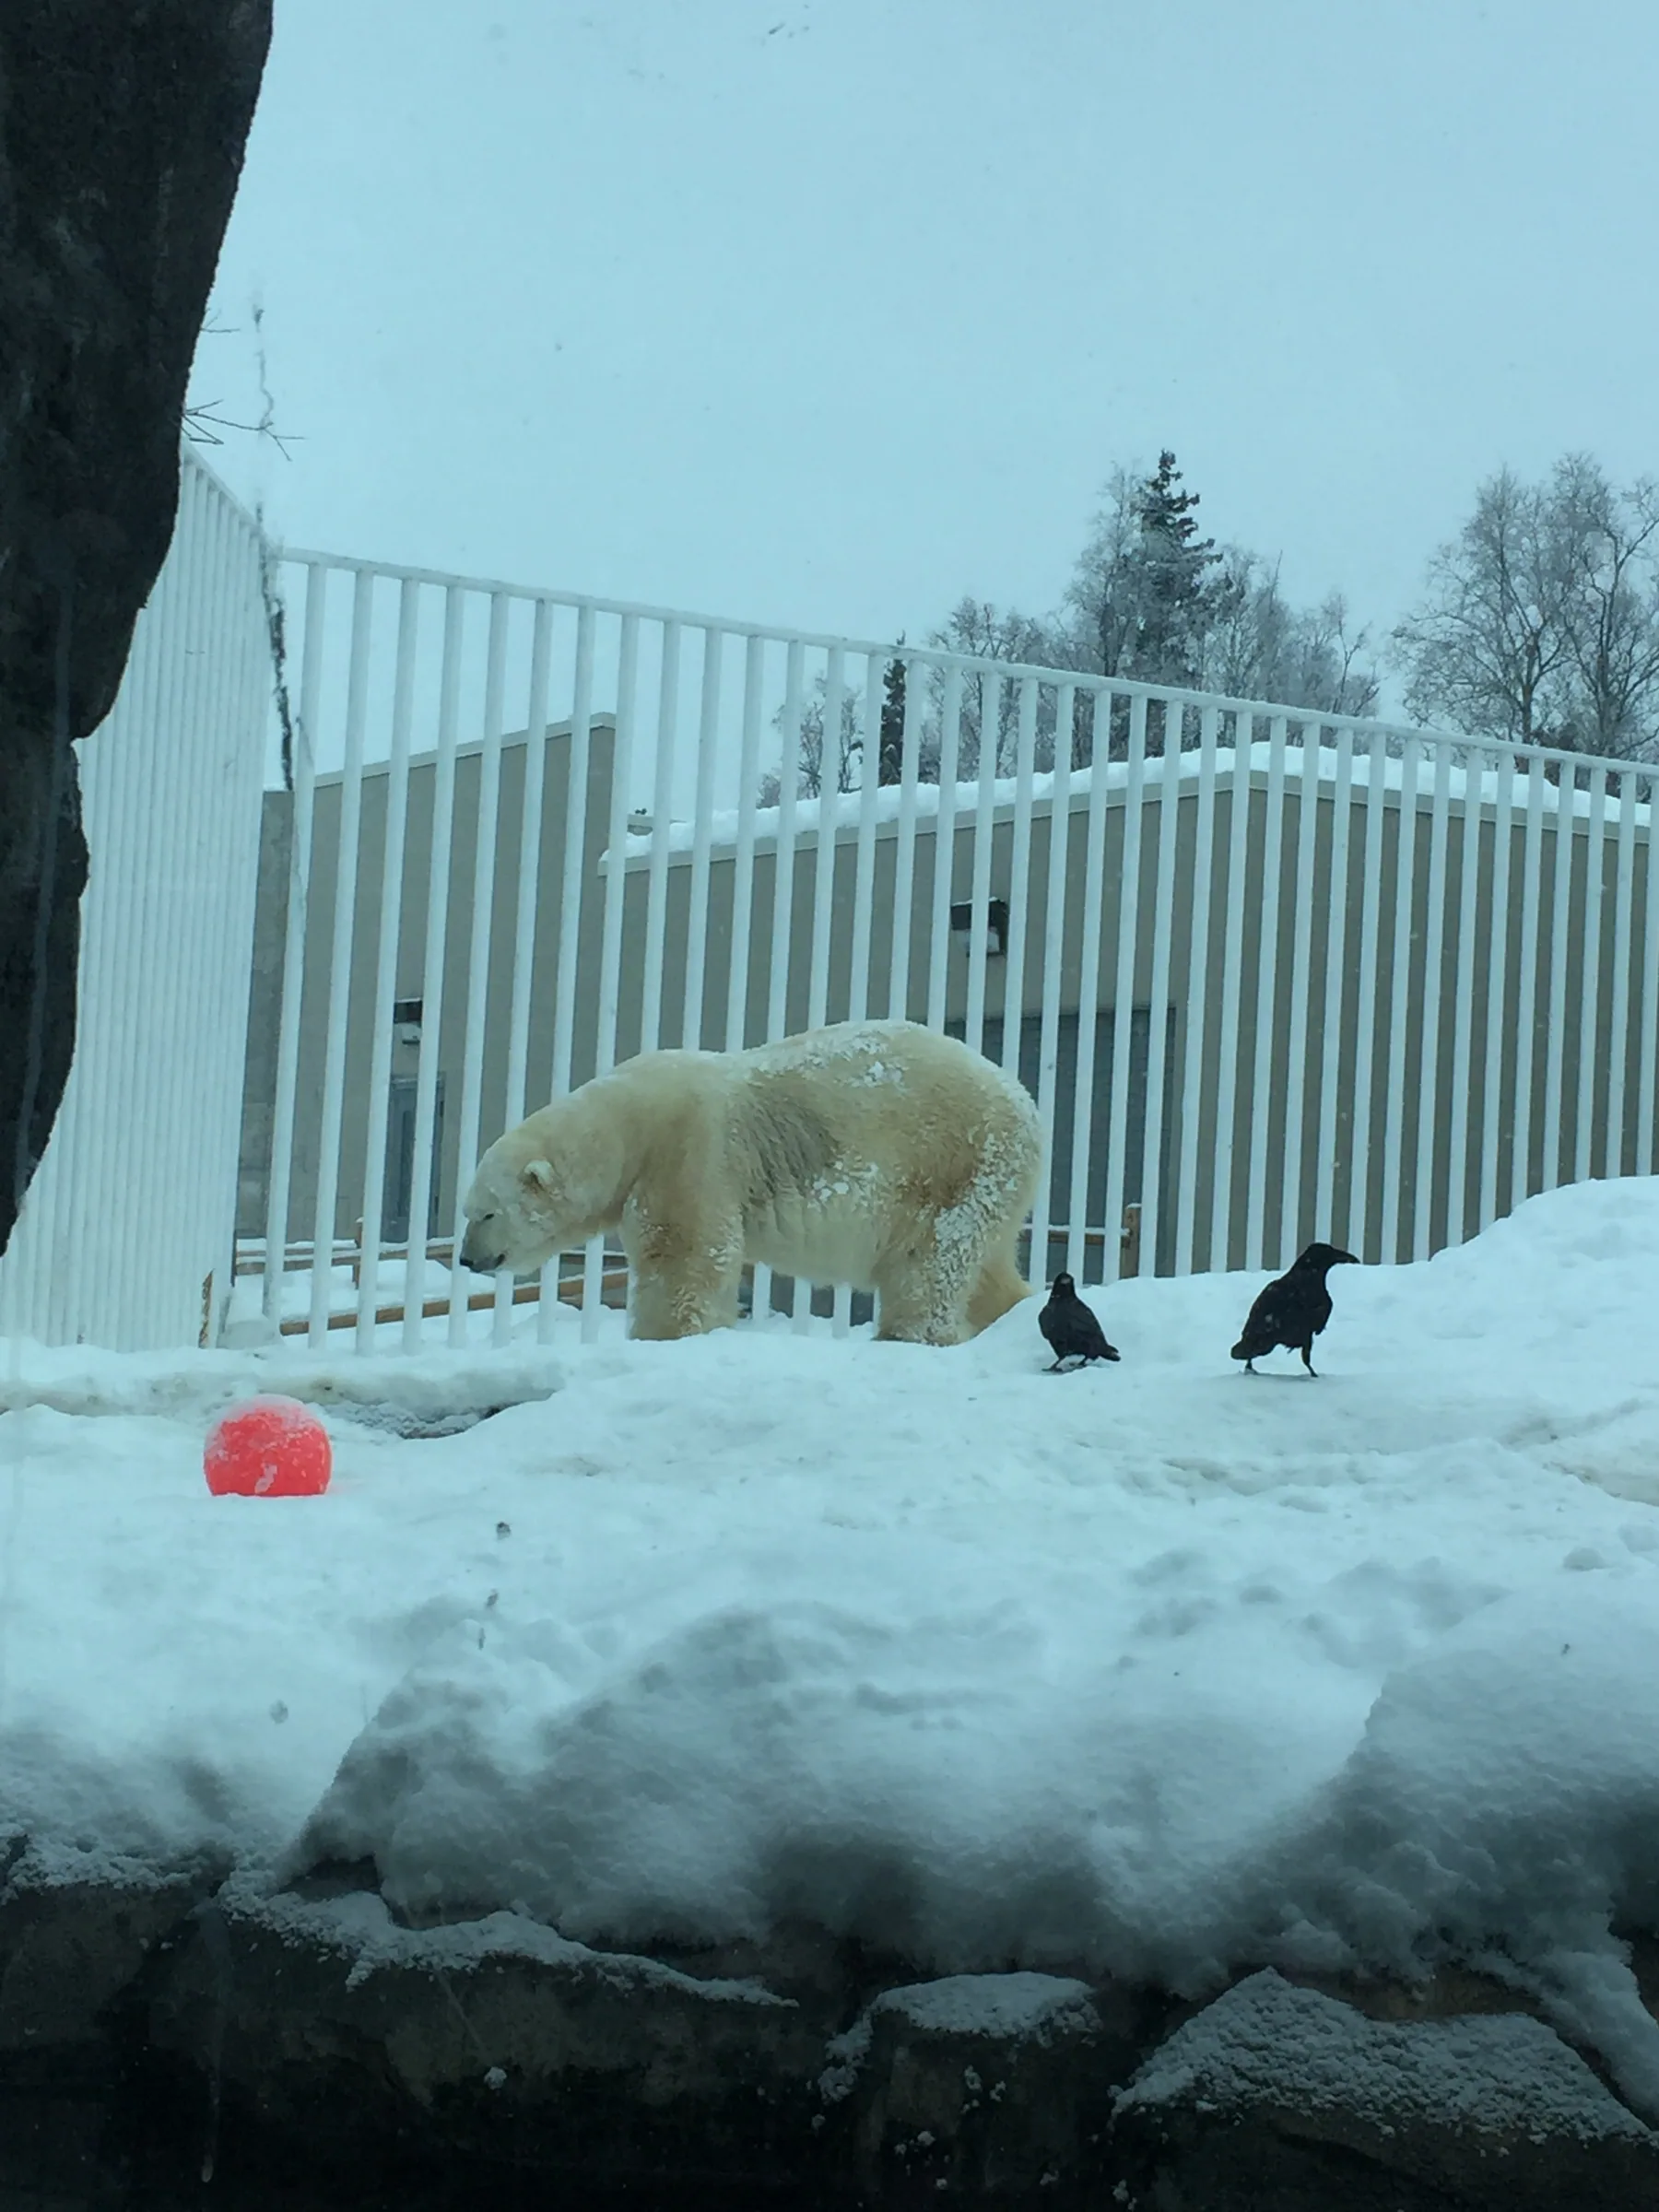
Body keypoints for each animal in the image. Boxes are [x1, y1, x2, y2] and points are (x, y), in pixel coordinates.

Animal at [458, 1019, 1043, 1345]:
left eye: (487, 1212)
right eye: (468, 1212)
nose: (467, 1259)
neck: (629, 1124)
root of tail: (1025, 1104)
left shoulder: (688, 1153)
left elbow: (686, 1253)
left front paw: (664, 1335)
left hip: (956, 1162)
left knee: (932, 1260)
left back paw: (907, 1333)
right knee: (986, 1266)